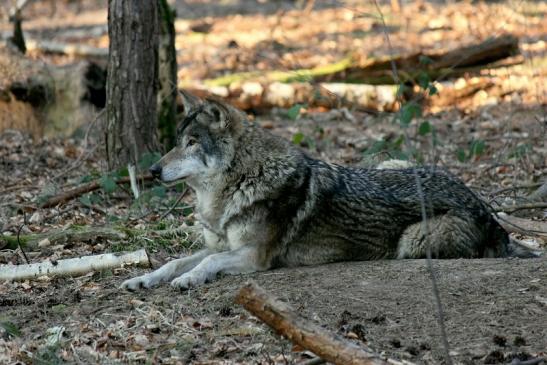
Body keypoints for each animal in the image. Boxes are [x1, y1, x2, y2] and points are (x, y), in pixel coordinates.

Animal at [121, 97, 532, 290]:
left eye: (191, 143)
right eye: (177, 142)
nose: (153, 171)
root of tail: (488, 212)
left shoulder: (253, 256)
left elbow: (205, 264)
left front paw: (188, 280)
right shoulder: (222, 245)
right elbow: (175, 261)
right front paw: (144, 279)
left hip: (412, 242)